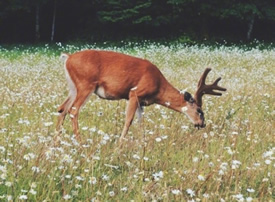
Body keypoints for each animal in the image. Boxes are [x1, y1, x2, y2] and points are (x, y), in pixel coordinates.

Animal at [56, 50, 226, 142]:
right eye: (199, 110)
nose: (201, 124)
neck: (158, 87)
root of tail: (68, 57)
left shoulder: (142, 102)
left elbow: (140, 123)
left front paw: (141, 144)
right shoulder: (134, 93)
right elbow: (128, 121)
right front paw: (120, 144)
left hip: (73, 87)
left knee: (62, 108)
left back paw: (56, 140)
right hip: (86, 84)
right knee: (73, 110)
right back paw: (80, 142)